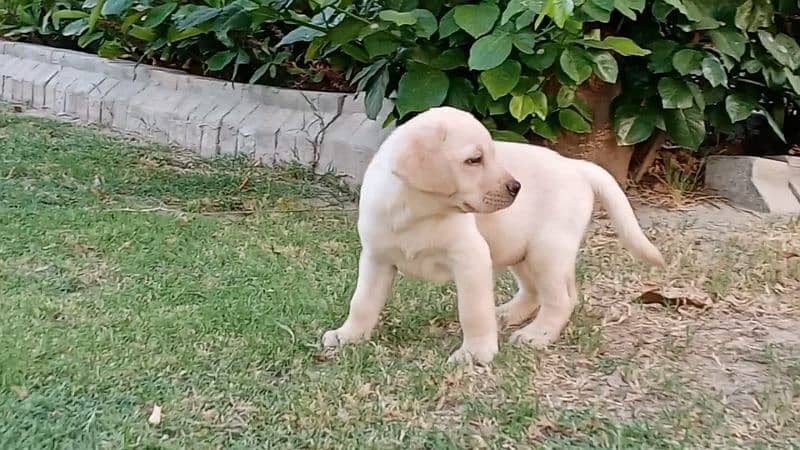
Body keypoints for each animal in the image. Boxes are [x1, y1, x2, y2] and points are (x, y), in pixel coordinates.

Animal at [320, 107, 664, 364]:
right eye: (474, 160)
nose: (517, 187)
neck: (417, 211)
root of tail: (577, 166)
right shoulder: (376, 258)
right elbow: (362, 302)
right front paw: (348, 335)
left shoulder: (470, 258)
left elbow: (473, 311)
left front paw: (476, 353)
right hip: (520, 249)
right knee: (537, 292)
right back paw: (508, 314)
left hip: (545, 252)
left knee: (560, 300)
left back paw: (537, 335)